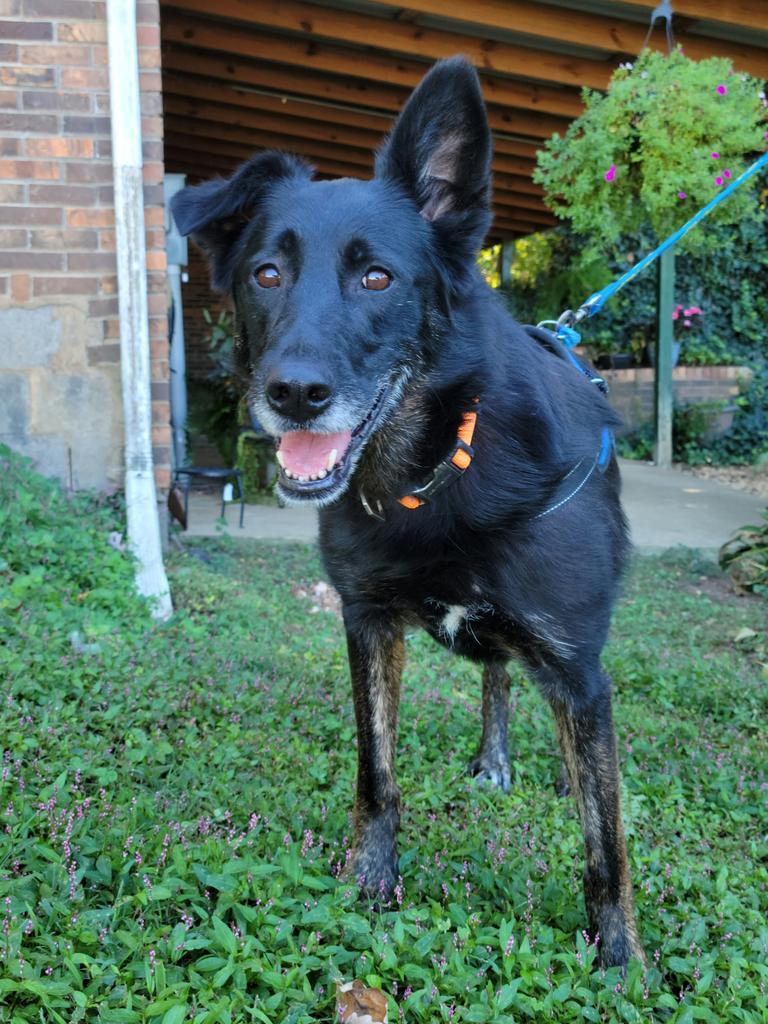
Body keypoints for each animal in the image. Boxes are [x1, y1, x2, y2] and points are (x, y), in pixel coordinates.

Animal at [173, 56, 643, 966]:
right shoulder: (366, 621)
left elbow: (605, 837)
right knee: (497, 675)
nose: (294, 393)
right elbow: (376, 772)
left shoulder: (576, 662)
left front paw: (620, 961)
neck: (436, 475)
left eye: (377, 277)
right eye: (266, 274)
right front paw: (370, 886)